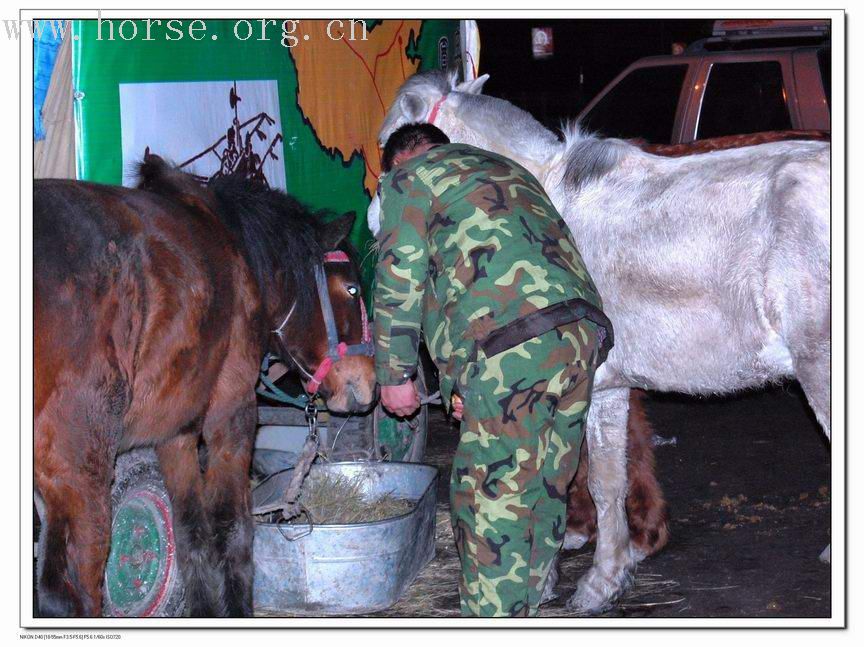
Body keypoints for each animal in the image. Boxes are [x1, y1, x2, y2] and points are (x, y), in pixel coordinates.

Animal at [34, 157, 378, 616]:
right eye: (353, 288)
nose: (369, 383)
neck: (237, 251)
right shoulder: (231, 414)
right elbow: (232, 528)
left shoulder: (175, 433)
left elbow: (190, 534)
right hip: (81, 467)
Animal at [372, 71, 832, 612]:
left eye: (384, 145)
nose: (375, 219)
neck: (547, 186)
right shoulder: (608, 389)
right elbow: (608, 483)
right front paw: (607, 576)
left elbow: (579, 481)